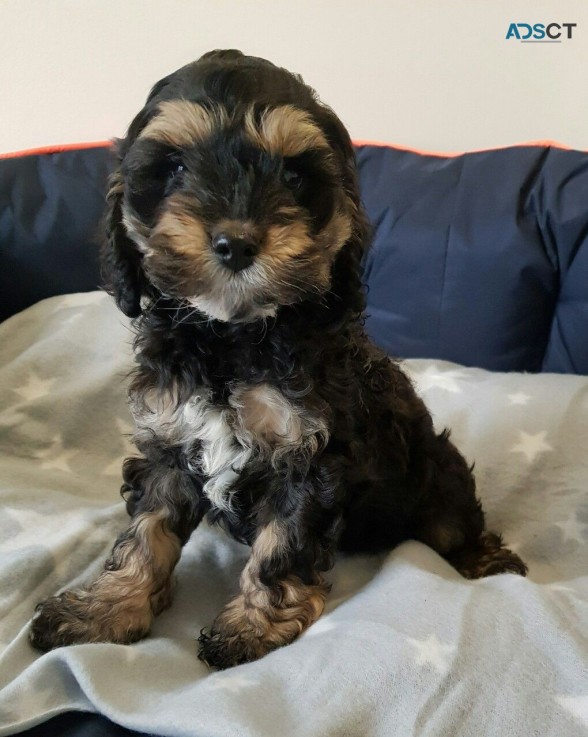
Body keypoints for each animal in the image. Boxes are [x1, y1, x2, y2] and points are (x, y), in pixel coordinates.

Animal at [28, 49, 528, 664]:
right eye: (174, 169)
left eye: (293, 175)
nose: (236, 243)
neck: (232, 339)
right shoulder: (169, 442)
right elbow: (147, 532)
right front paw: (105, 608)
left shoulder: (309, 456)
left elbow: (281, 544)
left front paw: (252, 626)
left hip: (433, 472)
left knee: (454, 521)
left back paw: (486, 558)